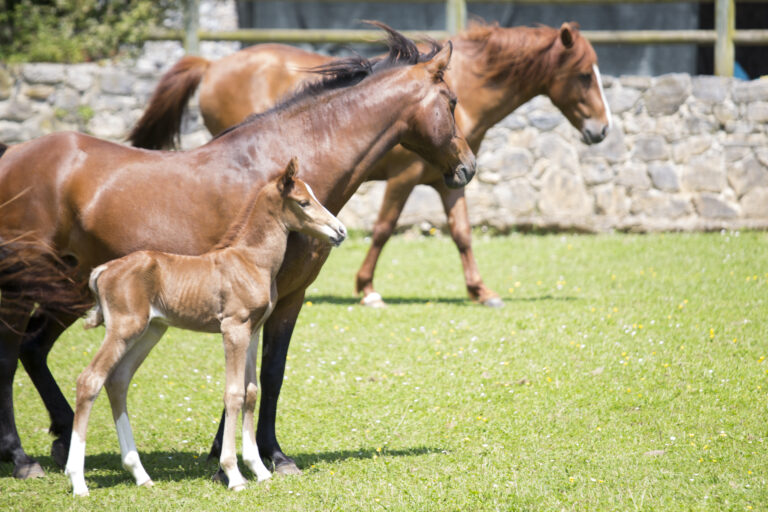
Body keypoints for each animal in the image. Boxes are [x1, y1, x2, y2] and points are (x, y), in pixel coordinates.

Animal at [64, 160, 346, 496]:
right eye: (303, 202)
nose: (341, 231)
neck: (251, 261)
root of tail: (103, 269)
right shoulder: (233, 328)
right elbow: (234, 393)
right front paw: (234, 474)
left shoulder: (252, 331)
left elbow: (251, 392)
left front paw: (259, 470)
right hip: (123, 328)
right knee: (89, 380)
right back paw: (78, 480)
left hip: (151, 330)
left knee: (117, 380)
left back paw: (140, 474)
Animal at [130, 21, 612, 308]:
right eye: (584, 75)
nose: (603, 130)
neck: (471, 87)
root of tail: (213, 62)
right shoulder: (404, 178)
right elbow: (383, 229)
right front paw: (367, 289)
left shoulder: (447, 179)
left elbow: (462, 233)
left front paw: (481, 291)